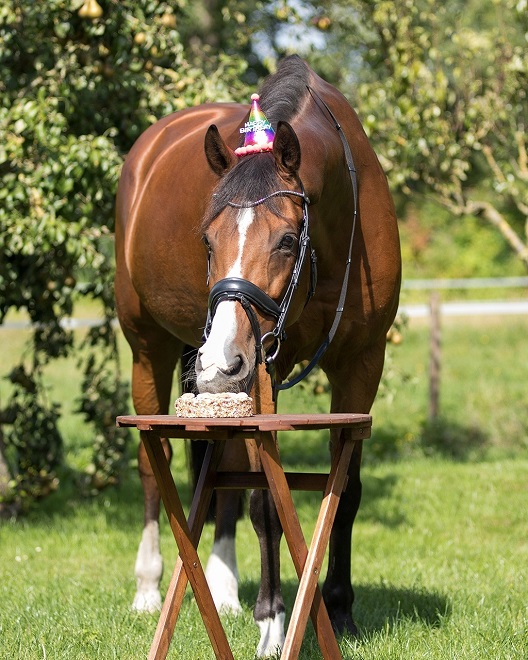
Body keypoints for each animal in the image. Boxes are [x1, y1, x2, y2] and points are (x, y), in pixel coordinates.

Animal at [115, 55, 400, 656]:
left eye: (288, 240)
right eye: (207, 239)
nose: (221, 358)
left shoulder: (362, 364)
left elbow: (346, 491)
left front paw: (340, 611)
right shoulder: (261, 369)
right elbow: (267, 500)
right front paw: (273, 621)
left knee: (220, 473)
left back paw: (222, 586)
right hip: (150, 348)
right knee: (156, 466)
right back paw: (149, 587)